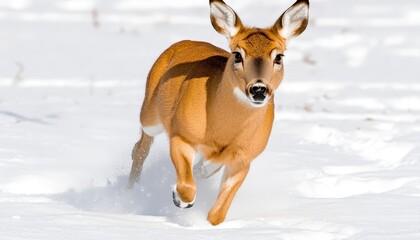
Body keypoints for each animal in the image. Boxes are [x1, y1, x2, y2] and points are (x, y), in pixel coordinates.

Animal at [130, 0, 310, 225]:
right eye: (238, 54)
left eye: (279, 56)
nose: (258, 89)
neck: (222, 131)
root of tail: (182, 43)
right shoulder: (181, 135)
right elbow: (187, 187)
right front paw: (178, 199)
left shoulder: (243, 158)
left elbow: (218, 214)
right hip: (150, 114)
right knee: (139, 148)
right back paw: (129, 190)